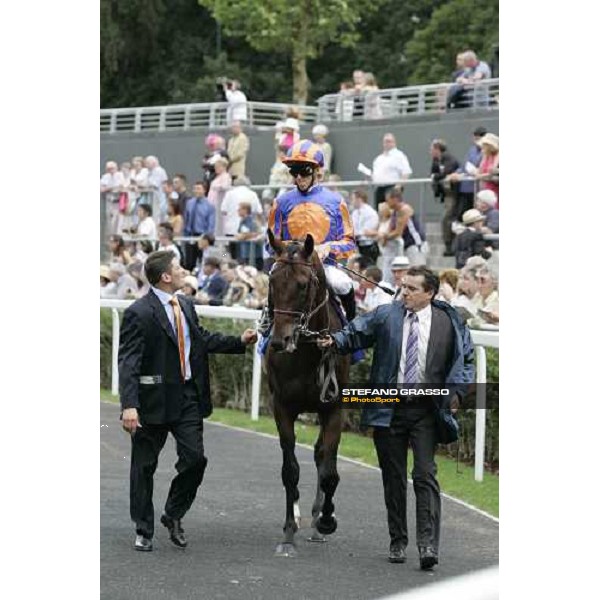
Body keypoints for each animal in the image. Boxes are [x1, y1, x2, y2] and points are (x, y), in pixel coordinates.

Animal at [264, 230, 350, 556]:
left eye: (302, 285)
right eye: (272, 282)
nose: (279, 340)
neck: (306, 352)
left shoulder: (335, 408)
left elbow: (329, 472)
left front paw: (326, 520)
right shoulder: (281, 407)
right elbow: (290, 470)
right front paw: (289, 530)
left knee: (322, 455)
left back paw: (318, 517)